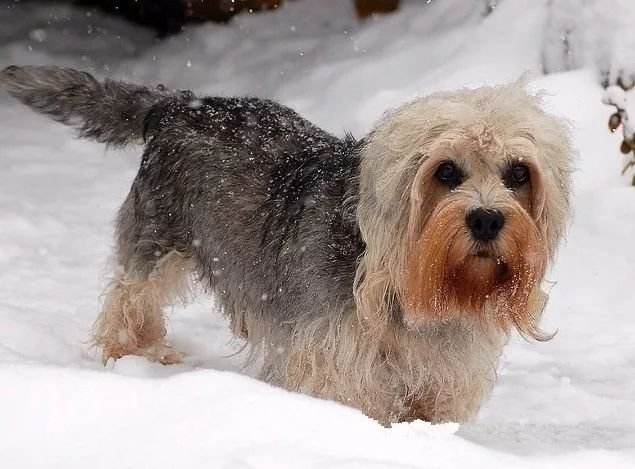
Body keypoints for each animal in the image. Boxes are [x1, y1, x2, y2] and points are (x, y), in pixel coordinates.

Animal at [0, 66, 572, 424]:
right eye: (446, 171)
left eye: (519, 173)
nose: (487, 219)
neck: (398, 278)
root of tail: (177, 104)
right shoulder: (339, 372)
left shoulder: (441, 384)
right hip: (157, 243)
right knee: (127, 302)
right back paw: (138, 357)